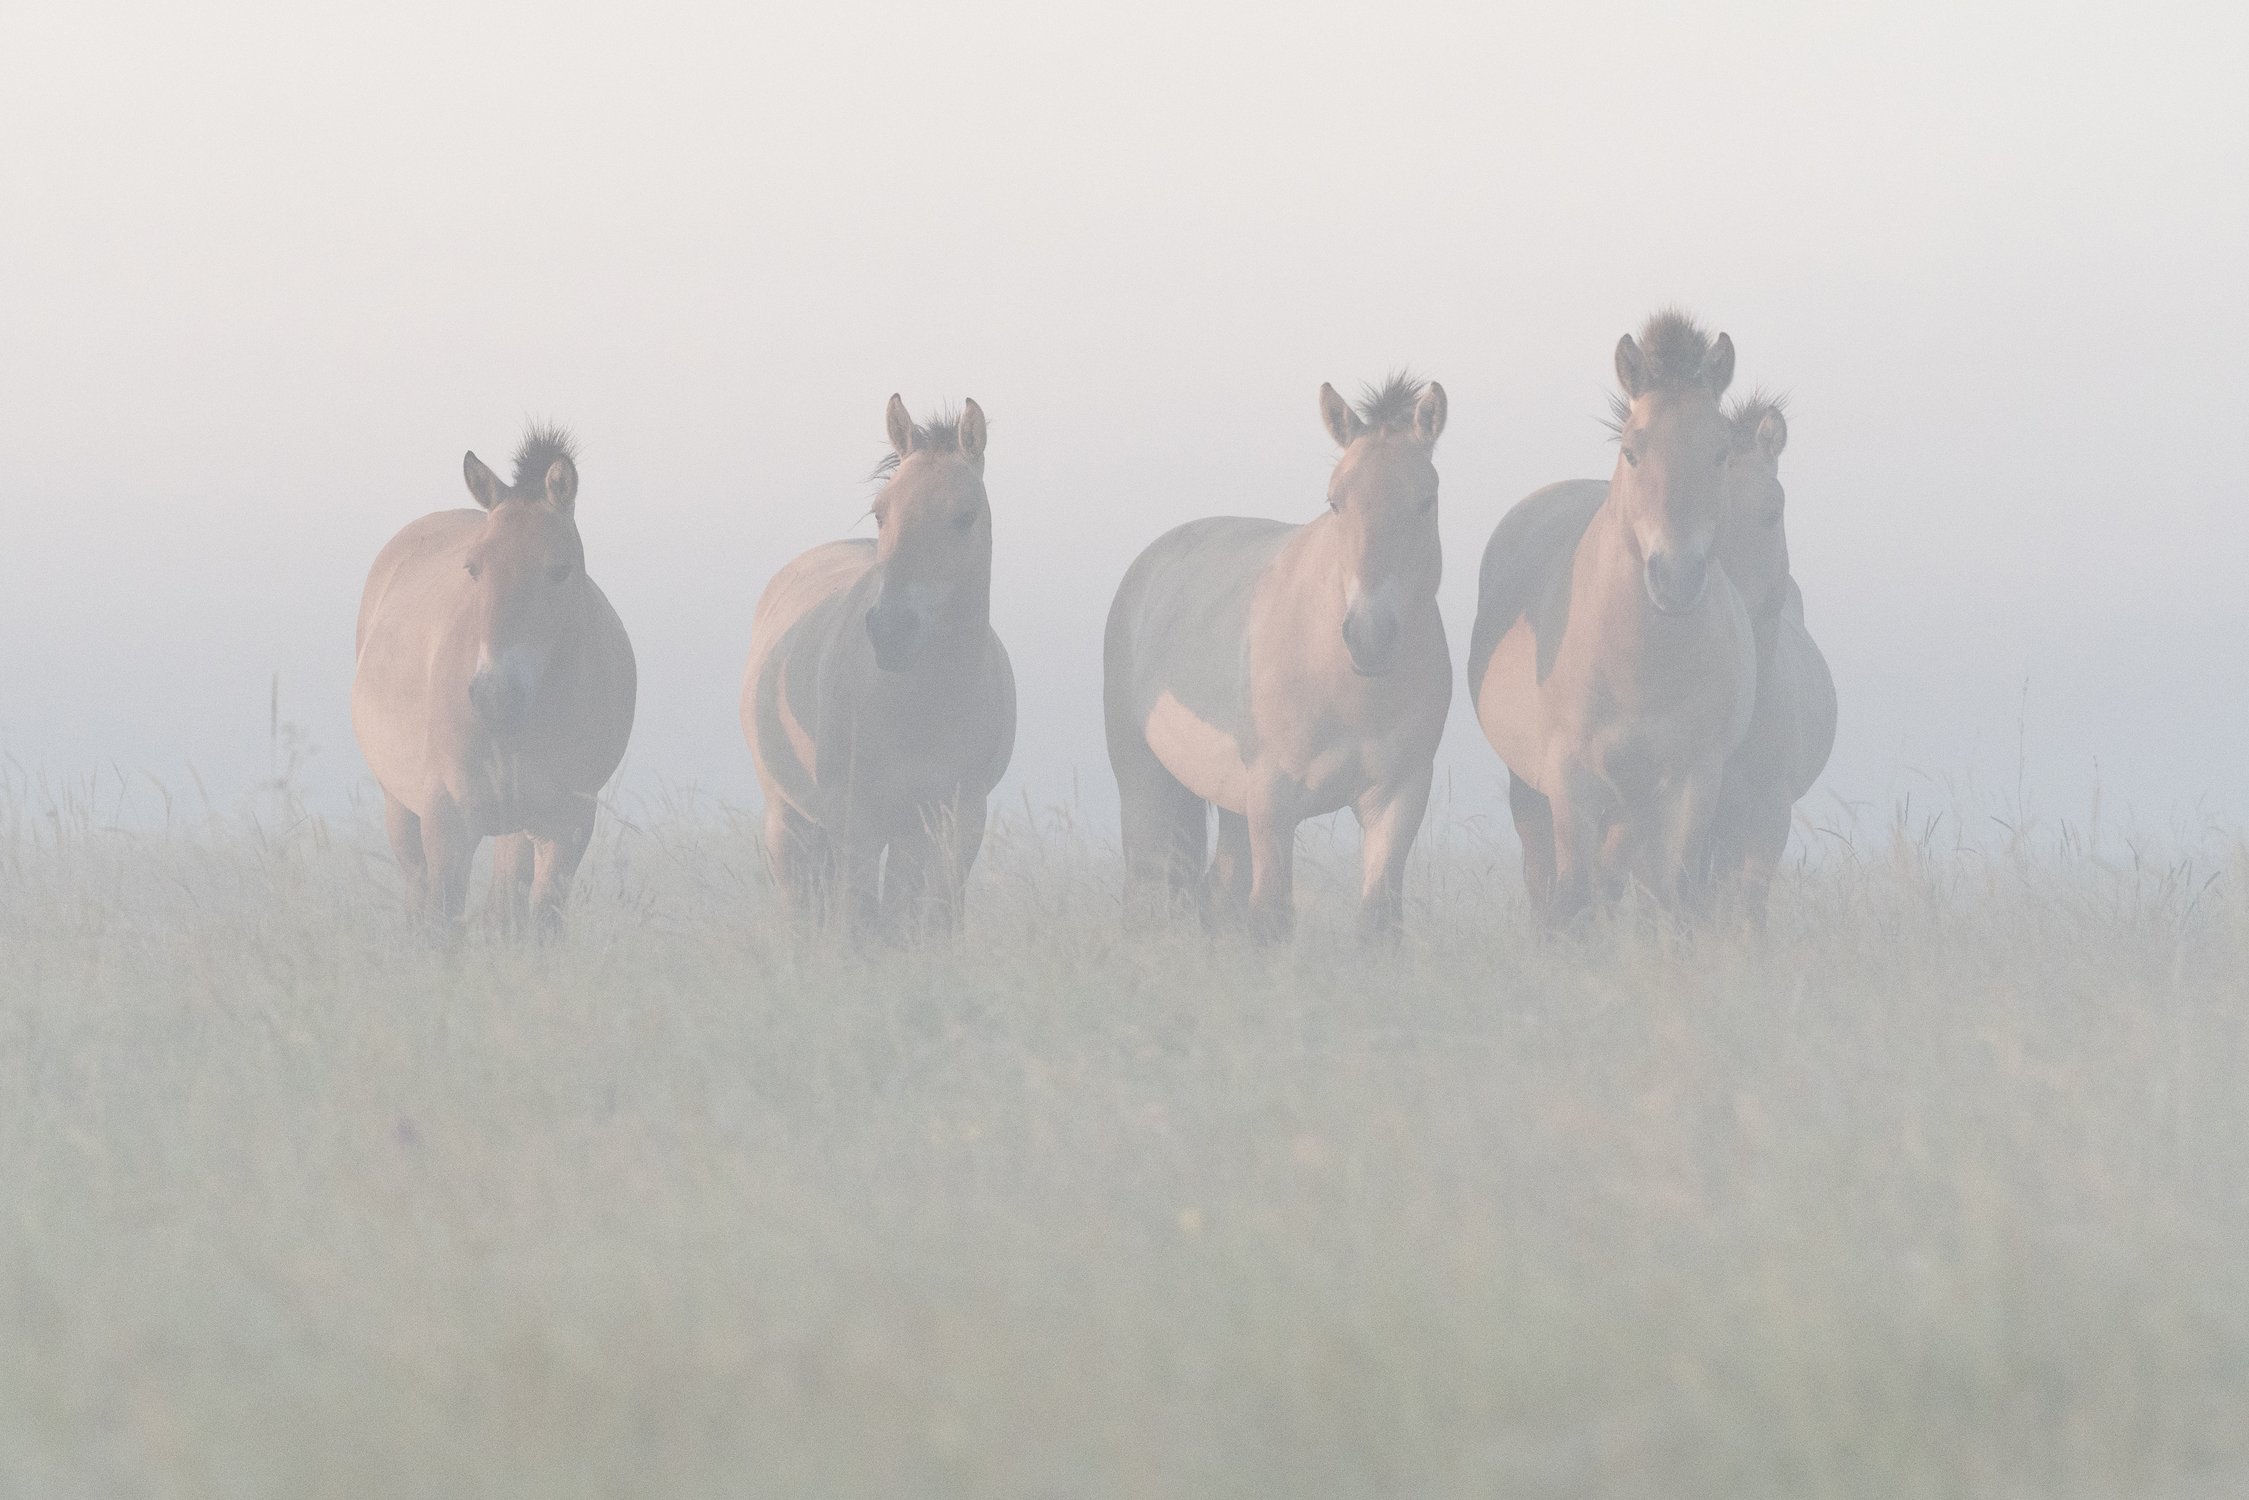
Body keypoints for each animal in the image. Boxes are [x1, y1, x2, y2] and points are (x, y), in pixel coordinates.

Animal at [350, 425, 638, 940]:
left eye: (559, 570)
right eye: (474, 568)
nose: (494, 696)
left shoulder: (566, 826)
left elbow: (540, 927)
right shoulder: (448, 825)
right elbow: (441, 927)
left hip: (518, 827)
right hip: (401, 810)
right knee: (417, 894)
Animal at [737, 395, 1021, 940]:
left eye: (965, 516)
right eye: (880, 513)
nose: (891, 630)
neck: (922, 703)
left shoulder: (958, 819)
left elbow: (929, 923)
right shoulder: (856, 819)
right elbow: (858, 924)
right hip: (791, 820)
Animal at [1097, 375, 1448, 940]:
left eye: (1426, 501)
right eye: (1335, 502)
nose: (1369, 637)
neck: (1348, 689)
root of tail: (1149, 562)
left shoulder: (1398, 797)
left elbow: (1377, 923)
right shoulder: (1272, 800)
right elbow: (1271, 917)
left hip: (1230, 804)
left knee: (1214, 895)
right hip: (1146, 781)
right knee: (1147, 891)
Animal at [1466, 314, 1763, 926]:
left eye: (1720, 452)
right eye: (1632, 452)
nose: (1675, 577)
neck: (1638, 663)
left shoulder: (1691, 782)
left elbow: (1672, 897)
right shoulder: (1571, 782)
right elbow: (1573, 894)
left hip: (1637, 803)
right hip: (1535, 790)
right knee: (1550, 881)